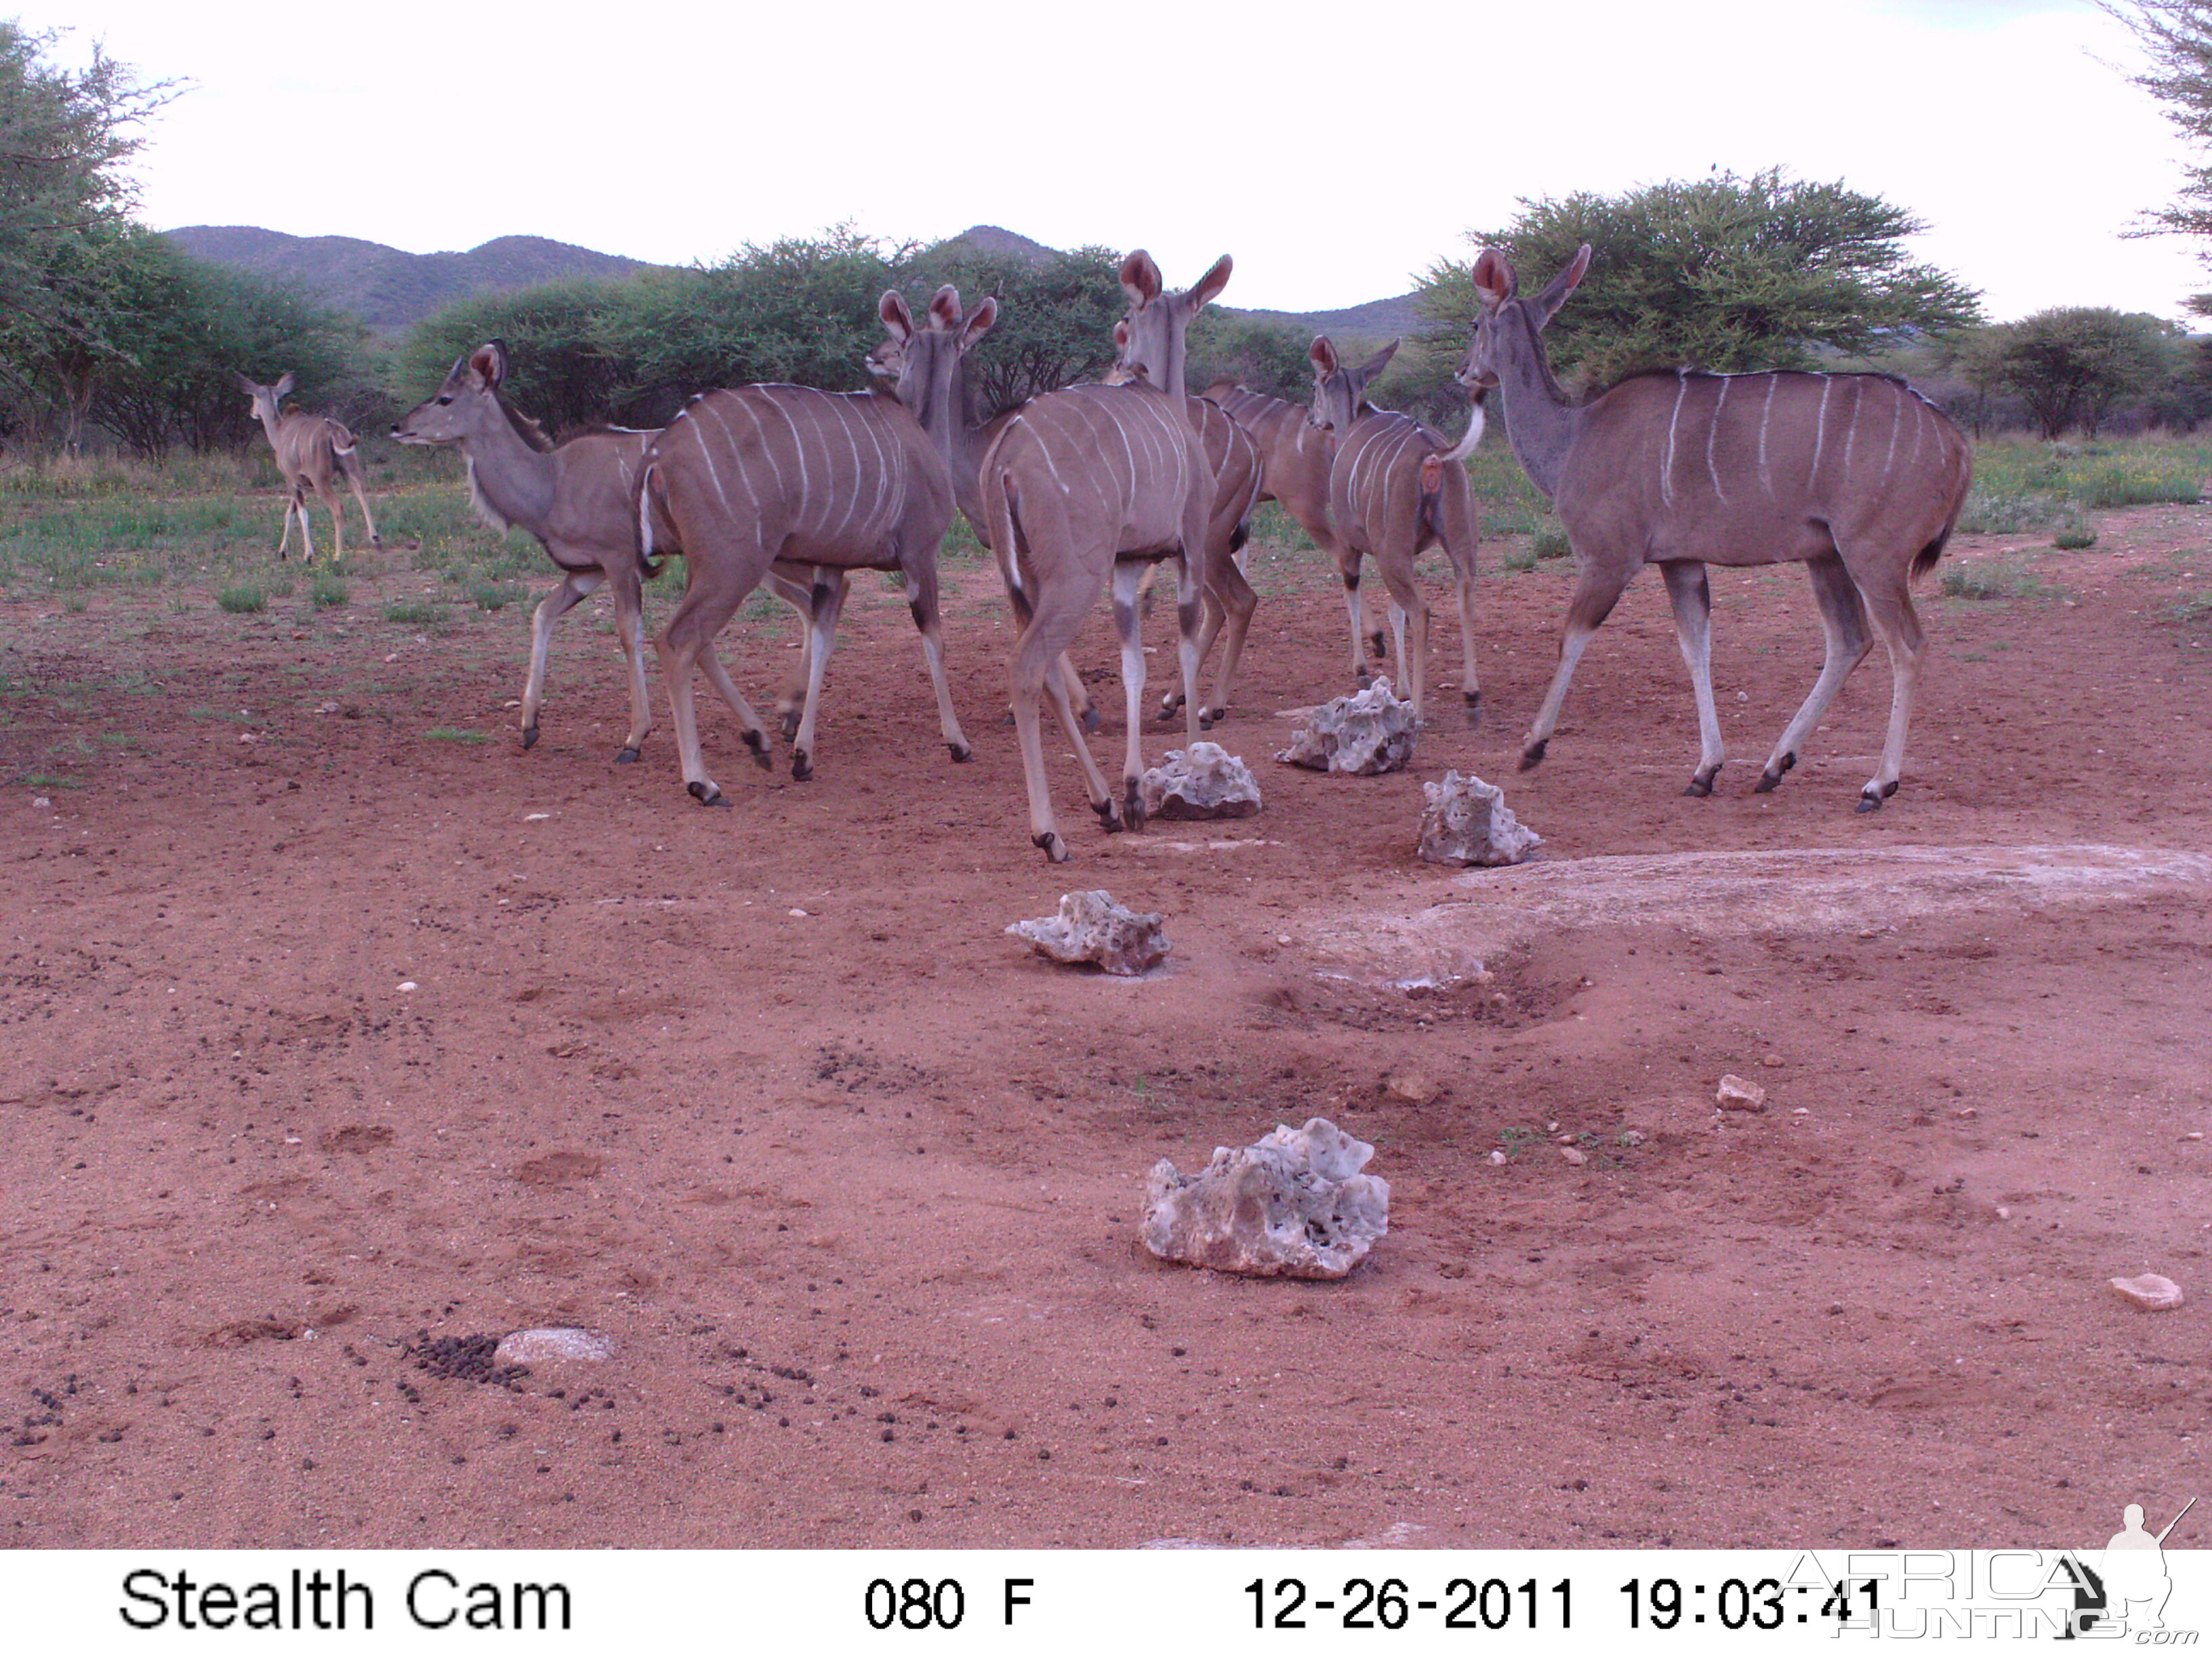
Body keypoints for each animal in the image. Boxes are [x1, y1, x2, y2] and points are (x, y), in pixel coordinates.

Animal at [235, 371, 382, 566]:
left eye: (254, 397)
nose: (253, 412)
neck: (280, 431)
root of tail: (333, 430)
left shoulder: (291, 480)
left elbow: (302, 514)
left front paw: (308, 555)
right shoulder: (299, 483)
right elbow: (290, 512)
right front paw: (283, 551)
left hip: (321, 481)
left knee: (338, 507)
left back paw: (337, 555)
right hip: (350, 470)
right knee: (362, 494)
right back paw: (376, 540)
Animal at [1300, 338, 1477, 721]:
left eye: (1315, 385)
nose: (1312, 419)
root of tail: (1435, 454)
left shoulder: (1352, 543)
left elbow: (1352, 589)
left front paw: (1364, 672)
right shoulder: (1409, 552)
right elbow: (1396, 613)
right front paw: (1402, 689)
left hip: (1388, 552)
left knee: (1421, 611)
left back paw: (1420, 713)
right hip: (1456, 544)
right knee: (1465, 596)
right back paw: (1472, 697)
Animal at [1469, 246, 1973, 814]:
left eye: (1473, 324)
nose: (1466, 373)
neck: (1573, 435)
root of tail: (1957, 443)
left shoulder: (1608, 558)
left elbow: (1572, 637)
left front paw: (1532, 747)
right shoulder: (1680, 561)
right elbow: (1696, 647)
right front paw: (1706, 769)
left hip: (1873, 556)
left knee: (1906, 646)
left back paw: (1877, 784)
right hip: (1828, 556)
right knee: (1849, 641)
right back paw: (1776, 765)